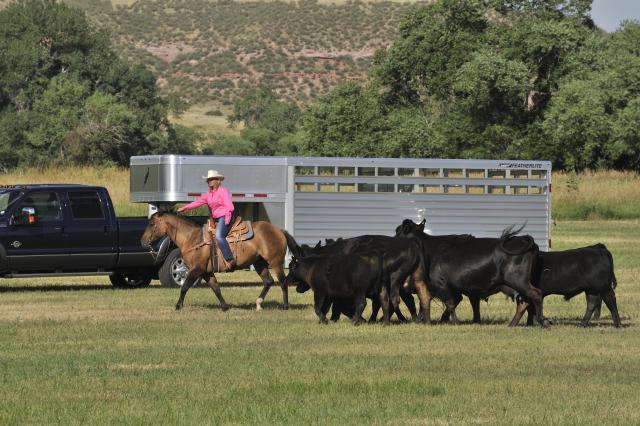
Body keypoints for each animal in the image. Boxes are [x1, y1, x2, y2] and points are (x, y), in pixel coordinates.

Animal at [142, 212, 290, 310]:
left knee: (283, 281)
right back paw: (258, 304)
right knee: (268, 281)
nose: (142, 241)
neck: (192, 238)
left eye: (152, 224)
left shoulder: (196, 270)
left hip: (275, 262)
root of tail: (279, 230)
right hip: (259, 263)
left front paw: (178, 306)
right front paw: (224, 307)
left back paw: (285, 306)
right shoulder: (206, 272)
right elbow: (216, 288)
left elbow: (184, 287)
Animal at [396, 220, 552, 326]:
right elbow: (448, 303)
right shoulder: (453, 288)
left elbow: (449, 304)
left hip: (517, 280)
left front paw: (455, 322)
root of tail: (523, 239)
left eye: (398, 232)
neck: (429, 249)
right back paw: (512, 324)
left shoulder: (442, 284)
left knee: (535, 295)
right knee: (524, 301)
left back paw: (542, 321)